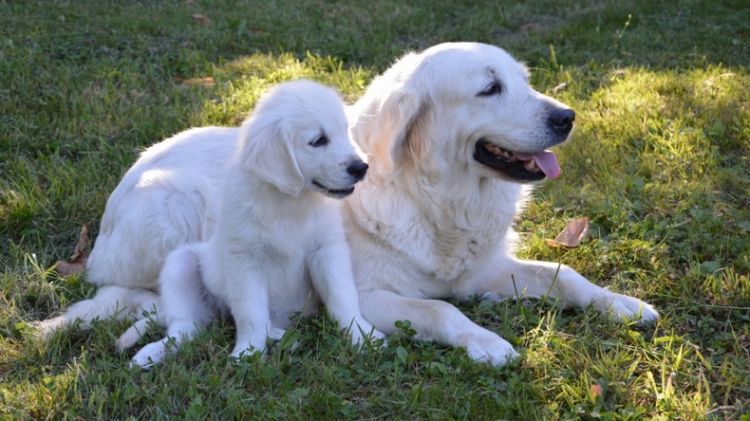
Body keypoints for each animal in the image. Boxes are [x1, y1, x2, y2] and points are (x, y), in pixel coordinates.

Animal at [126, 80, 384, 366]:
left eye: (345, 131)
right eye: (318, 141)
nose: (361, 167)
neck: (290, 203)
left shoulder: (327, 250)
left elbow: (342, 298)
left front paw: (362, 335)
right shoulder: (244, 260)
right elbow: (251, 312)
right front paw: (248, 353)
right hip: (180, 265)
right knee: (184, 328)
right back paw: (151, 353)